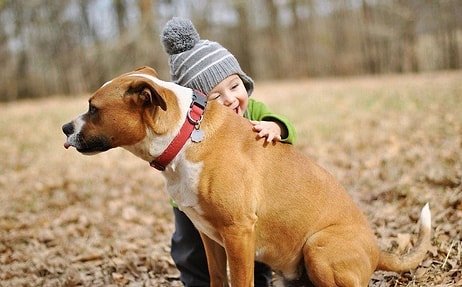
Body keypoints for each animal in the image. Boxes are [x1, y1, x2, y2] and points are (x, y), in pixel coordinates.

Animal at [63, 66, 432, 286]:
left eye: (93, 108)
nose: (65, 128)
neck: (186, 134)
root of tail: (377, 250)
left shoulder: (238, 233)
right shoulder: (210, 236)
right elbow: (217, 278)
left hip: (318, 247)